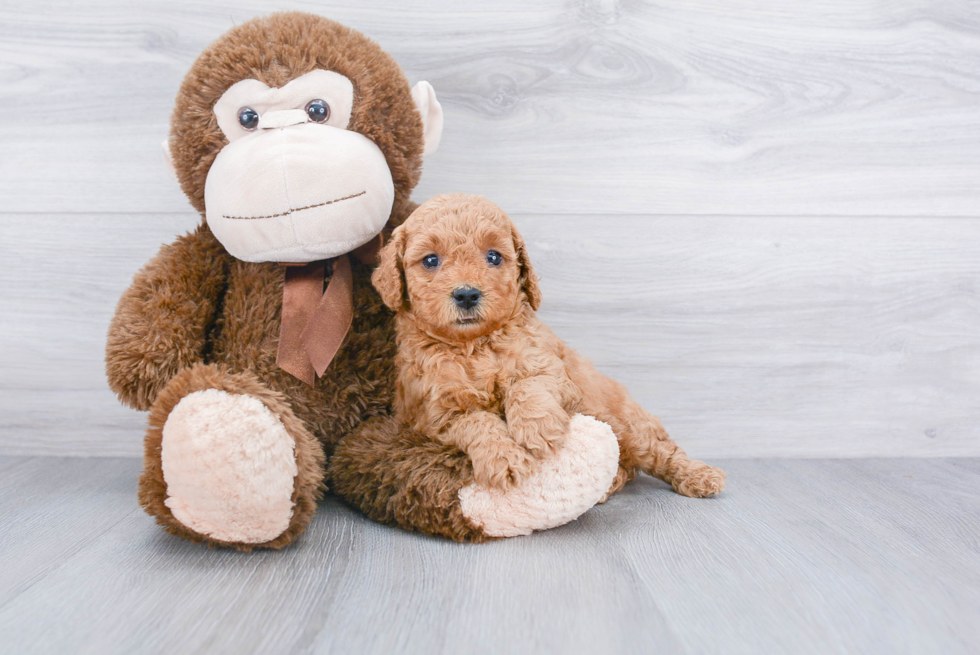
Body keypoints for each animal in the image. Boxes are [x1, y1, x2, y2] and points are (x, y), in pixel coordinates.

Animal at [372, 193, 724, 498]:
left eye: (494, 256)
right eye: (431, 260)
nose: (467, 294)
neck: (475, 344)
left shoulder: (551, 369)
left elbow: (527, 386)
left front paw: (537, 429)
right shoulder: (435, 414)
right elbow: (477, 422)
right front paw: (505, 459)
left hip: (627, 423)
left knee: (662, 452)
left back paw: (700, 475)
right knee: (627, 468)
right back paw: (607, 485)